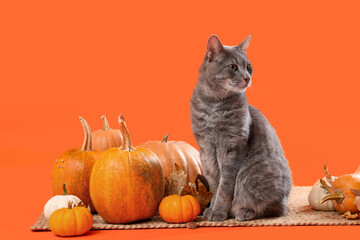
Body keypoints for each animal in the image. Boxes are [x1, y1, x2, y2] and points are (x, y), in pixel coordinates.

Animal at [190, 34, 292, 221]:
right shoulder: (206, 150)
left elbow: (225, 186)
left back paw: (243, 211)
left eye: (248, 67)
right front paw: (212, 208)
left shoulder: (233, 146)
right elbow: (216, 183)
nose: (247, 78)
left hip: (254, 176)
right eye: (233, 67)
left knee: (275, 208)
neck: (213, 105)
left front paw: (218, 212)